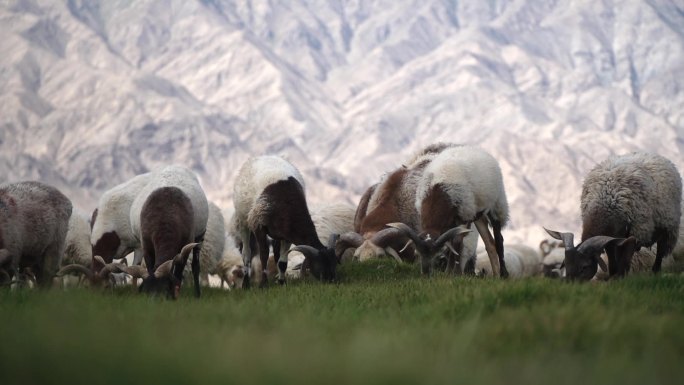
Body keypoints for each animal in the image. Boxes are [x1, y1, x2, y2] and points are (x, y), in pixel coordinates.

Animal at [235, 155, 340, 284]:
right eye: (319, 264)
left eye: (334, 262)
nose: (332, 281)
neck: (288, 203)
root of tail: (262, 156)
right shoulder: (258, 225)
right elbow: (264, 255)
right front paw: (264, 284)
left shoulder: (288, 234)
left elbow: (282, 262)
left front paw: (282, 282)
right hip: (242, 219)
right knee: (246, 253)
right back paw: (246, 284)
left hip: (276, 234)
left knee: (276, 254)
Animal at [388, 144, 510, 276]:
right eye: (417, 253)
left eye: (437, 255)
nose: (425, 274)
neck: (437, 192)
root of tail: (477, 149)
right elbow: (452, 243)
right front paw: (449, 271)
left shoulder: (463, 216)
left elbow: (457, 243)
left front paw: (454, 273)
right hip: (478, 214)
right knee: (490, 243)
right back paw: (496, 274)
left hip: (497, 204)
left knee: (498, 239)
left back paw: (504, 274)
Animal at [544, 152, 684, 280]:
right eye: (566, 264)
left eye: (584, 266)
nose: (570, 283)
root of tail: (653, 154)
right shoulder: (611, 240)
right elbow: (613, 262)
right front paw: (614, 276)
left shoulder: (634, 234)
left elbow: (625, 259)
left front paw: (619, 279)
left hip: (668, 226)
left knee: (660, 251)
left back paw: (655, 272)